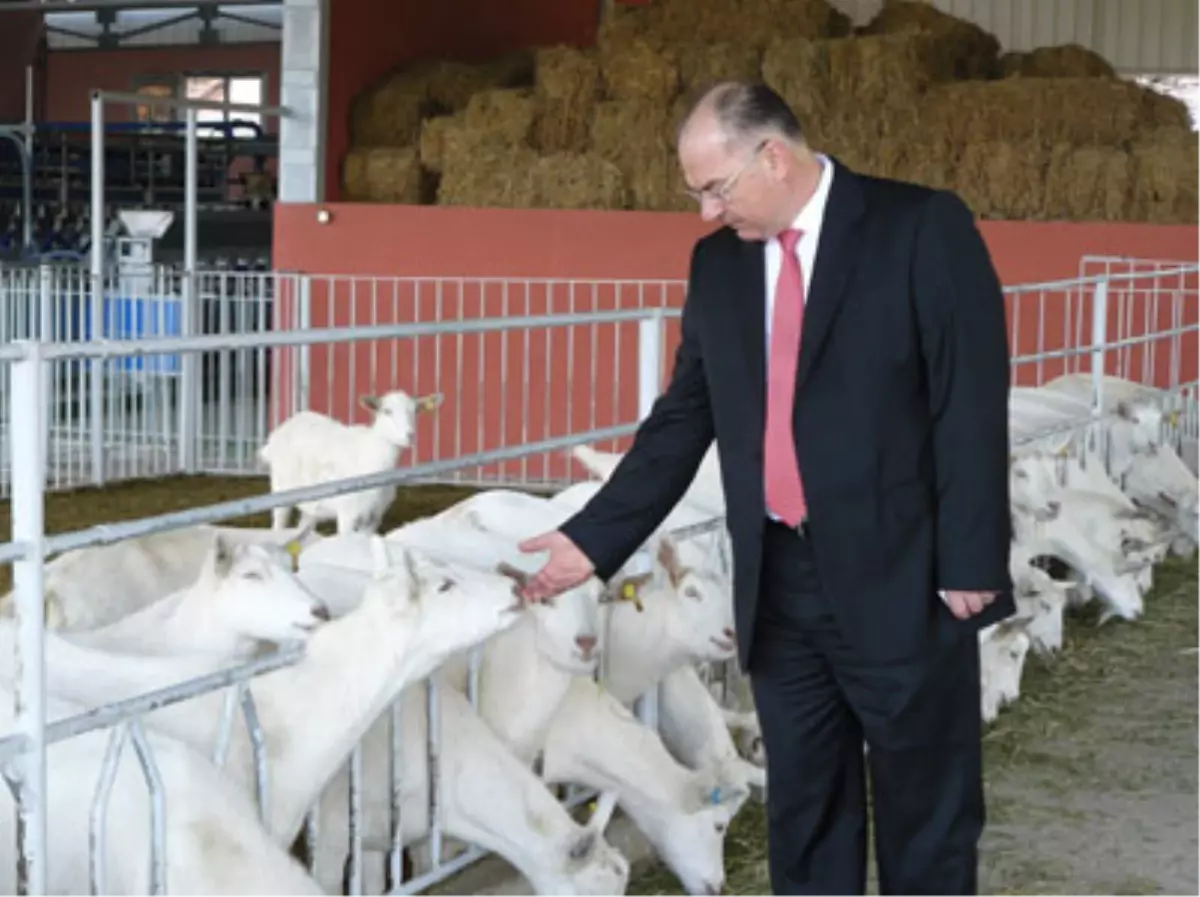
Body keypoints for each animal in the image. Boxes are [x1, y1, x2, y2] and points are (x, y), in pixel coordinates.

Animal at [260, 390, 444, 532]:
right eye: (387, 411)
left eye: (416, 410)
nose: (410, 435)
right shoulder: (347, 515)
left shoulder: (374, 518)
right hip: (280, 489)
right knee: (279, 522)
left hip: (312, 502)